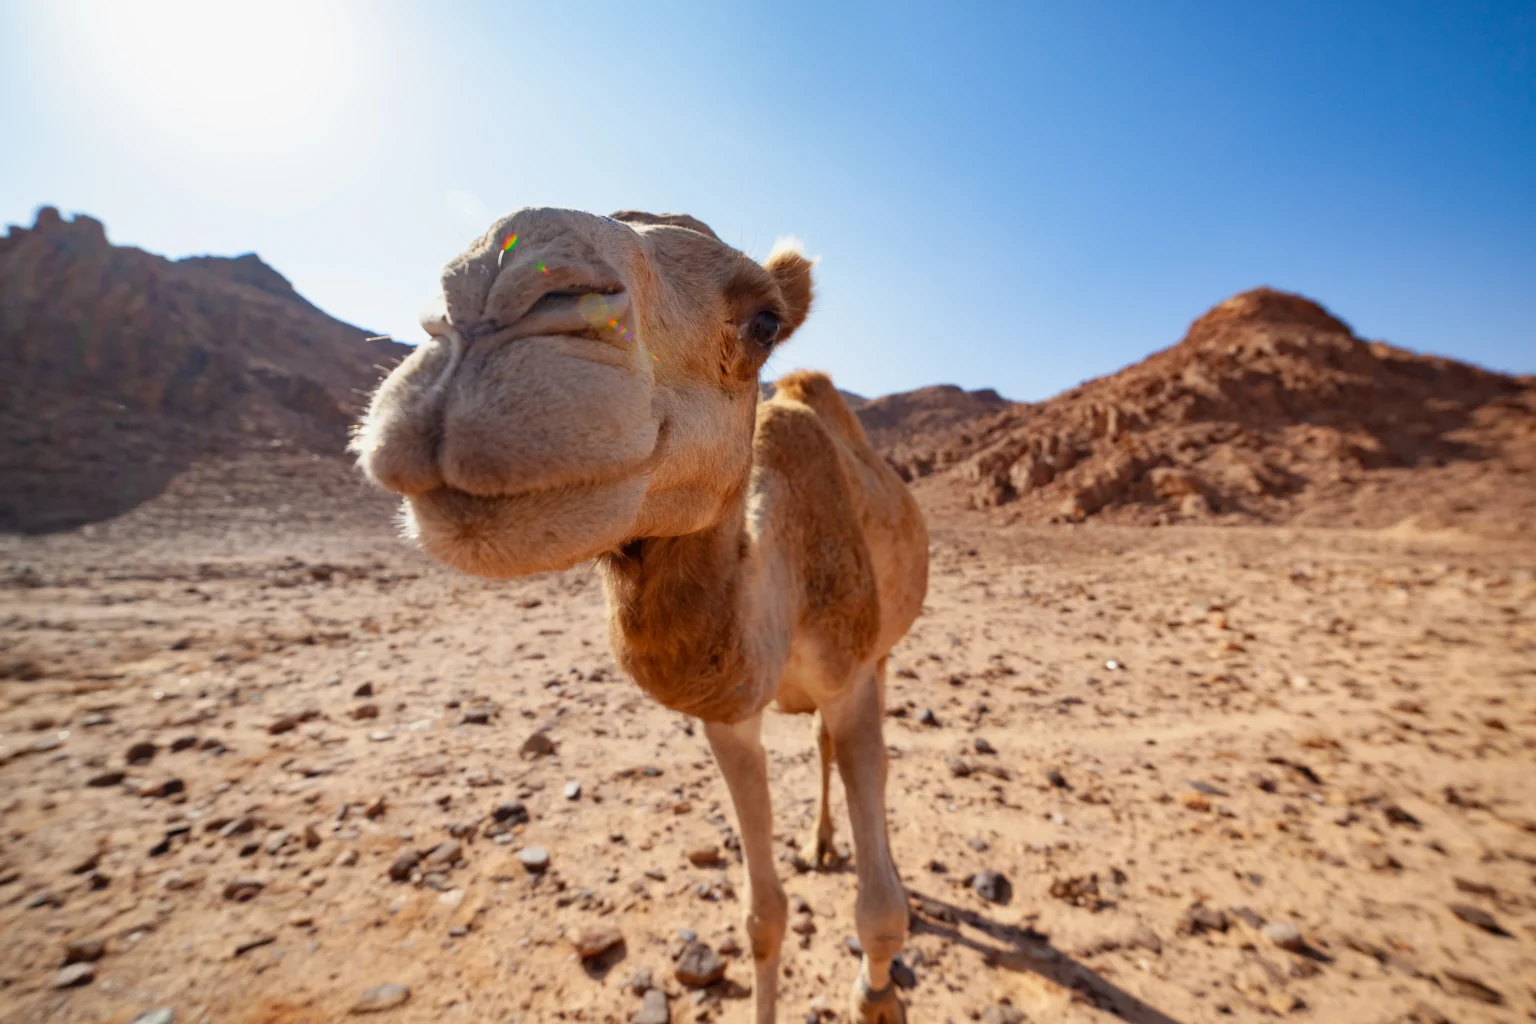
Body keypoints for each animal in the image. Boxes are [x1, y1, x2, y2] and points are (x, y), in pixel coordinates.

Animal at [353, 207, 929, 1023]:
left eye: (764, 321)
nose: (493, 287)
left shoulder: (850, 674)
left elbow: (879, 910)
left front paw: (878, 993)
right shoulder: (728, 718)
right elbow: (763, 916)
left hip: (882, 650)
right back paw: (819, 843)